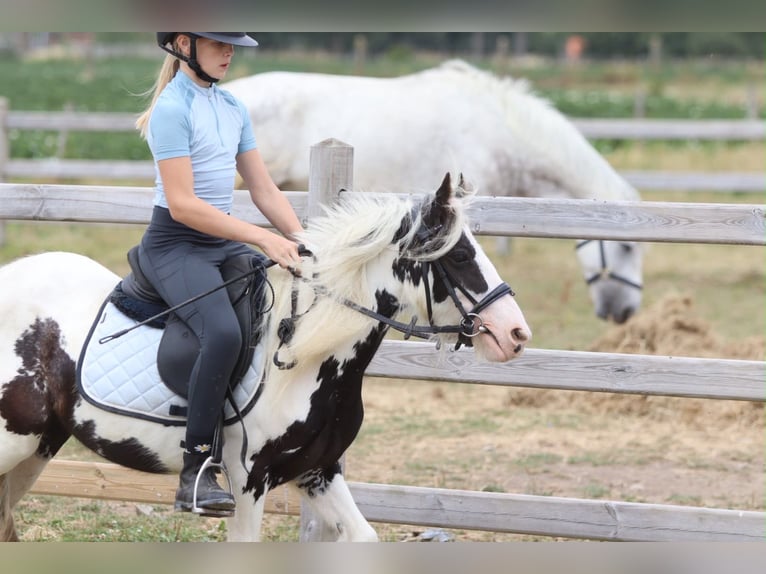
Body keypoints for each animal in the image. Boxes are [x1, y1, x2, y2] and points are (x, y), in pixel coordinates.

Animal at [0, 174, 530, 542]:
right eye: (459, 256)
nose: (515, 334)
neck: (303, 355)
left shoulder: (319, 473)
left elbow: (364, 536)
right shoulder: (247, 484)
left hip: (38, 448)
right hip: (13, 442)